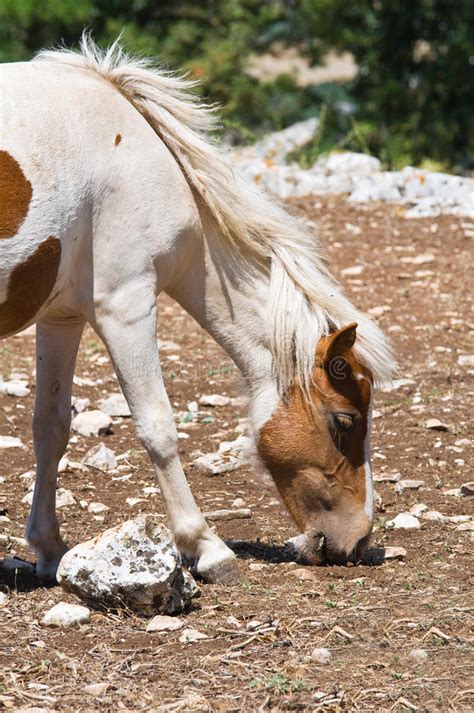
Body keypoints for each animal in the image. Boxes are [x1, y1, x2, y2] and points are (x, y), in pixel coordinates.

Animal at [0, 34, 392, 584]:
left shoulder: (63, 318)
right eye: (345, 421)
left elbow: (50, 427)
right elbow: (158, 426)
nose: (358, 541)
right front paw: (206, 546)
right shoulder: (126, 305)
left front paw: (50, 548)